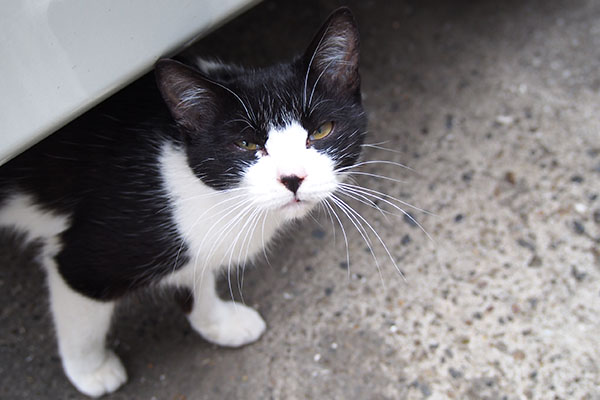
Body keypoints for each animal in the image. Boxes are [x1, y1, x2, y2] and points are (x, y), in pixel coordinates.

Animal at [0, 7, 366, 400]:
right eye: (247, 145)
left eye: (322, 131)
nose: (293, 178)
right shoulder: (87, 259)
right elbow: (81, 315)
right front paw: (91, 371)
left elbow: (196, 278)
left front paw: (220, 323)